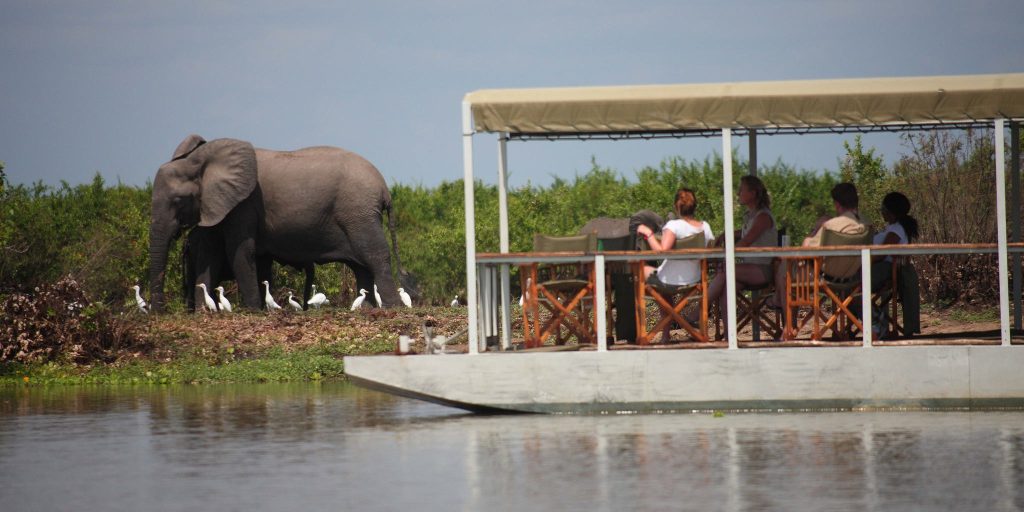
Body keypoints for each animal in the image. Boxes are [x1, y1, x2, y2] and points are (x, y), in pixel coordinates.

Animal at [149, 134, 407, 312]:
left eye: (178, 200)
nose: (158, 313)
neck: (202, 159)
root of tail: (384, 187)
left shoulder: (243, 204)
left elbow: (240, 250)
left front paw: (253, 311)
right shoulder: (220, 205)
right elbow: (223, 253)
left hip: (359, 212)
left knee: (374, 255)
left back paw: (392, 307)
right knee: (361, 265)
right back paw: (367, 309)